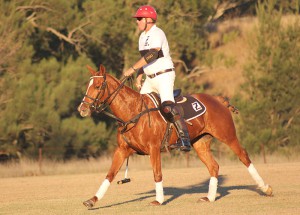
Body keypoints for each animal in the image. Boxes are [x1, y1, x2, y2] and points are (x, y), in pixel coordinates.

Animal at [77, 64, 272, 208]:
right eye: (87, 86)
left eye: (97, 86)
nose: (82, 109)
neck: (132, 112)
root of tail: (218, 99)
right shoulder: (122, 150)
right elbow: (110, 174)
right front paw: (92, 200)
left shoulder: (154, 148)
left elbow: (157, 174)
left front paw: (158, 200)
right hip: (200, 143)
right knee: (214, 166)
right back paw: (209, 197)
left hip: (227, 135)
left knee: (243, 156)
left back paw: (265, 188)